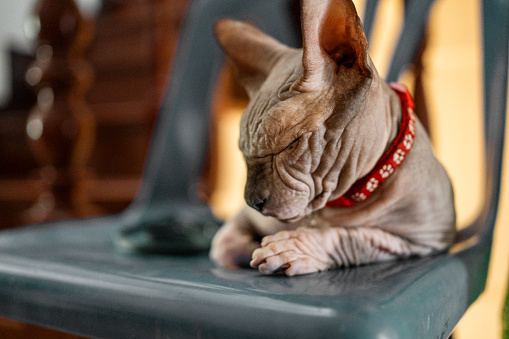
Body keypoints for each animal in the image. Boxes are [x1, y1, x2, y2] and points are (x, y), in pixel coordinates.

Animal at [208, 0, 454, 276]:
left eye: (291, 145)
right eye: (242, 152)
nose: (253, 202)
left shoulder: (425, 240)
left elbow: (354, 238)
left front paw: (292, 248)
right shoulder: (241, 221)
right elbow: (221, 244)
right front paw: (249, 247)